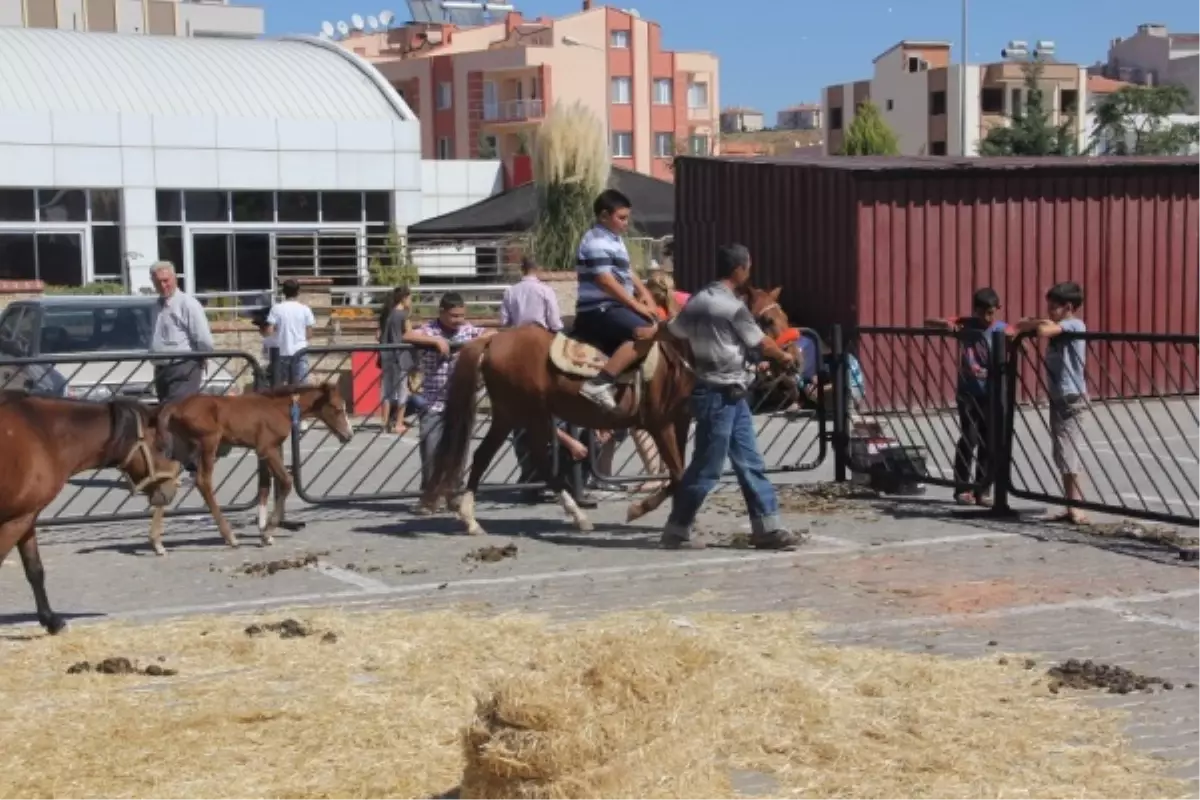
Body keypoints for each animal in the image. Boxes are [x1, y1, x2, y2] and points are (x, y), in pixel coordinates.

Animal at [0, 393, 177, 633]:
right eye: (161, 446)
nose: (170, 491)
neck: (41, 434)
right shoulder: (15, 521)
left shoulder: (27, 516)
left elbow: (35, 569)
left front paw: (52, 621)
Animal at [152, 383, 352, 556]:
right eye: (337, 408)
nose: (348, 435)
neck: (279, 408)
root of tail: (176, 406)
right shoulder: (268, 448)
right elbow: (286, 481)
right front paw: (267, 533)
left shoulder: (261, 452)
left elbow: (264, 486)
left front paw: (265, 531)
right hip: (208, 443)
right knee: (203, 481)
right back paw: (230, 537)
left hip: (182, 448)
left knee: (167, 480)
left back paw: (157, 543)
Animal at [424, 321, 696, 534]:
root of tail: (494, 339)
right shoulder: (660, 425)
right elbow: (678, 475)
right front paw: (638, 510)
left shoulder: (680, 422)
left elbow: (681, 475)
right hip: (524, 413)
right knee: (522, 458)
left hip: (514, 416)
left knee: (491, 456)